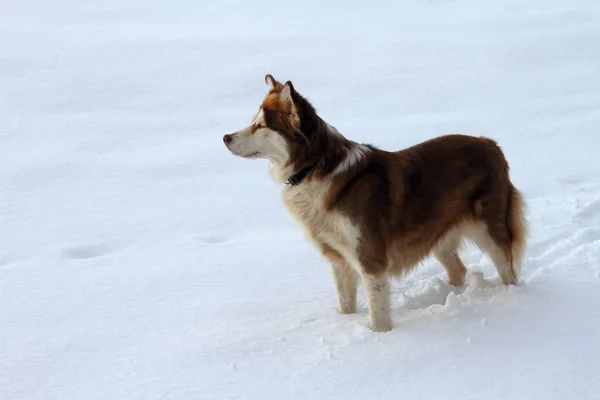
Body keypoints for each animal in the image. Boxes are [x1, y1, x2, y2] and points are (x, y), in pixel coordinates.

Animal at [223, 75, 528, 332]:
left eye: (261, 125)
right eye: (253, 121)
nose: (225, 137)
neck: (313, 167)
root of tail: (490, 144)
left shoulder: (370, 259)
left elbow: (377, 311)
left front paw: (379, 338)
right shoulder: (339, 259)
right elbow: (345, 302)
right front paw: (345, 322)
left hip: (488, 229)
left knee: (507, 268)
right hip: (436, 232)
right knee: (459, 269)